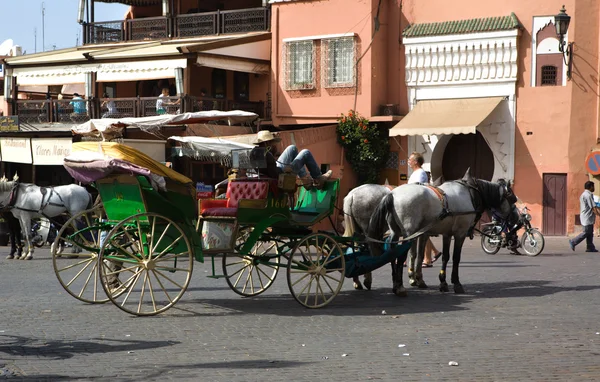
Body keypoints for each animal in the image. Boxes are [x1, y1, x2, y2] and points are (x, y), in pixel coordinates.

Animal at [366, 172, 516, 296]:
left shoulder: (447, 234)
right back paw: (400, 287)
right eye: (512, 199)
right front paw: (456, 283)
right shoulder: (460, 233)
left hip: (396, 232)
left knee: (392, 253)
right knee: (401, 255)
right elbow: (456, 258)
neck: (470, 193)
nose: (516, 219)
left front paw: (443, 282)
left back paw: (395, 284)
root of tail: (392, 194)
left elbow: (445, 257)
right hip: (409, 233)